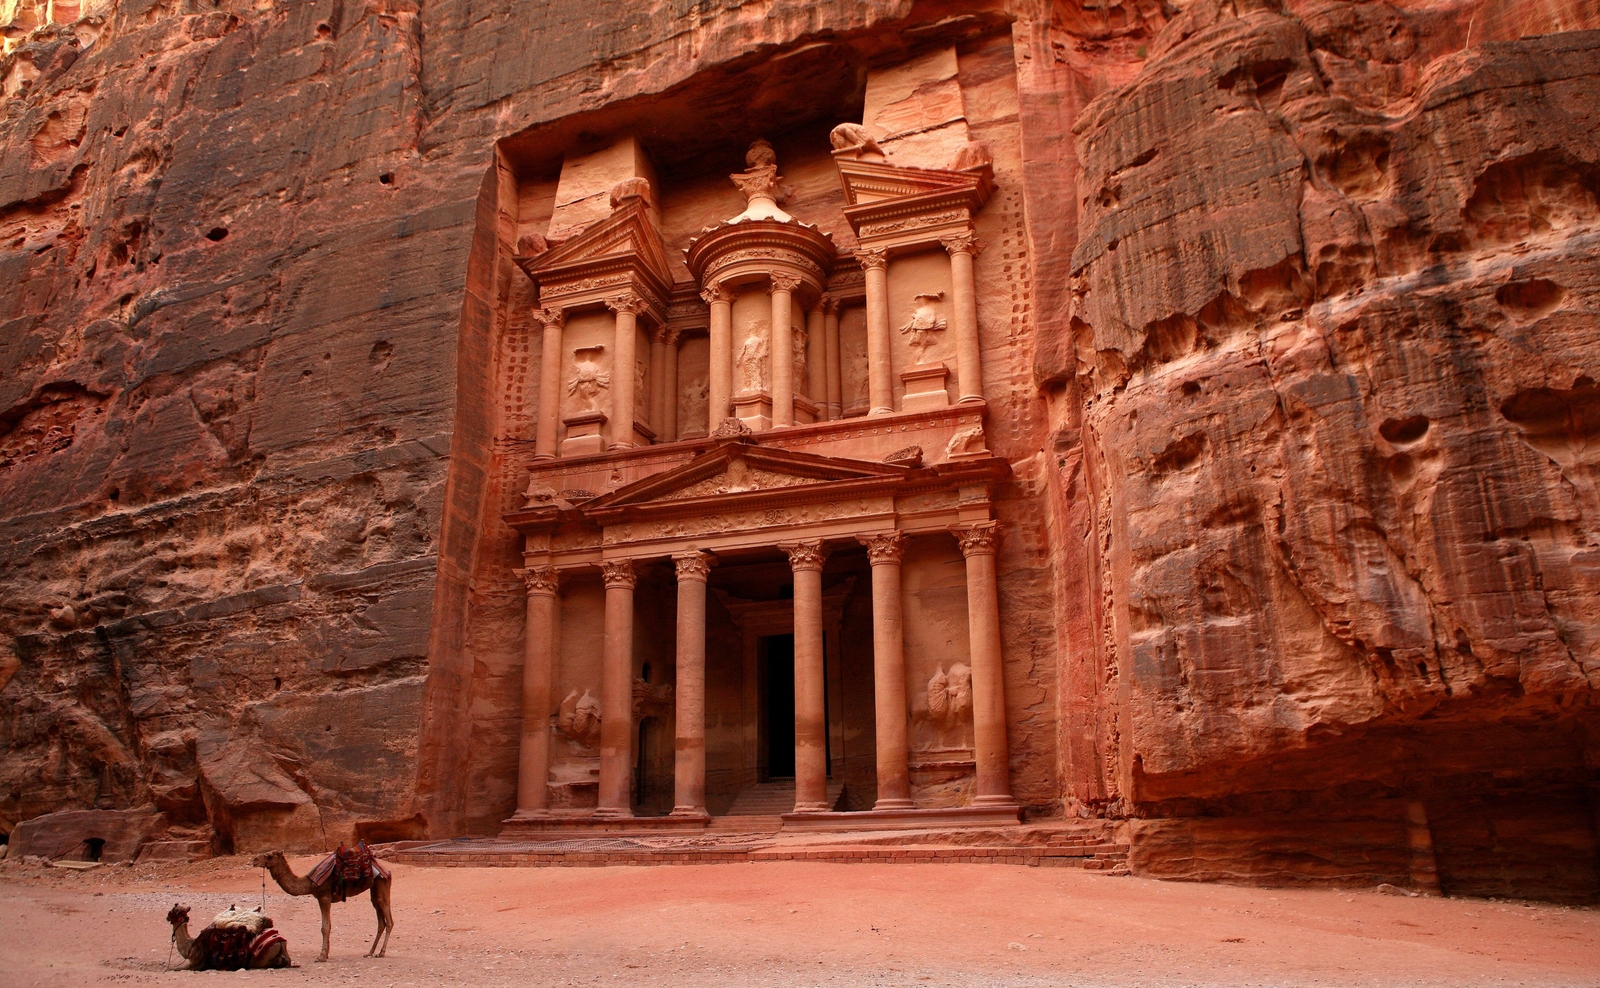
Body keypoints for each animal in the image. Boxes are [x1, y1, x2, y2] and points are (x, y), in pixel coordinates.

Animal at [164, 904, 294, 970]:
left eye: (171, 912)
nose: (166, 917)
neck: (190, 946)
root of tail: (280, 941)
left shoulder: (196, 964)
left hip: (260, 960)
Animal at [250, 849, 394, 961]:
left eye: (269, 855)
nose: (254, 860)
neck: (308, 883)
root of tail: (387, 871)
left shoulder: (324, 897)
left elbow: (325, 927)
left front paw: (321, 956)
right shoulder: (324, 898)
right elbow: (328, 925)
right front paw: (326, 953)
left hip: (381, 883)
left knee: (389, 919)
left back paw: (381, 952)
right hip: (374, 889)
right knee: (381, 920)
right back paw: (370, 952)